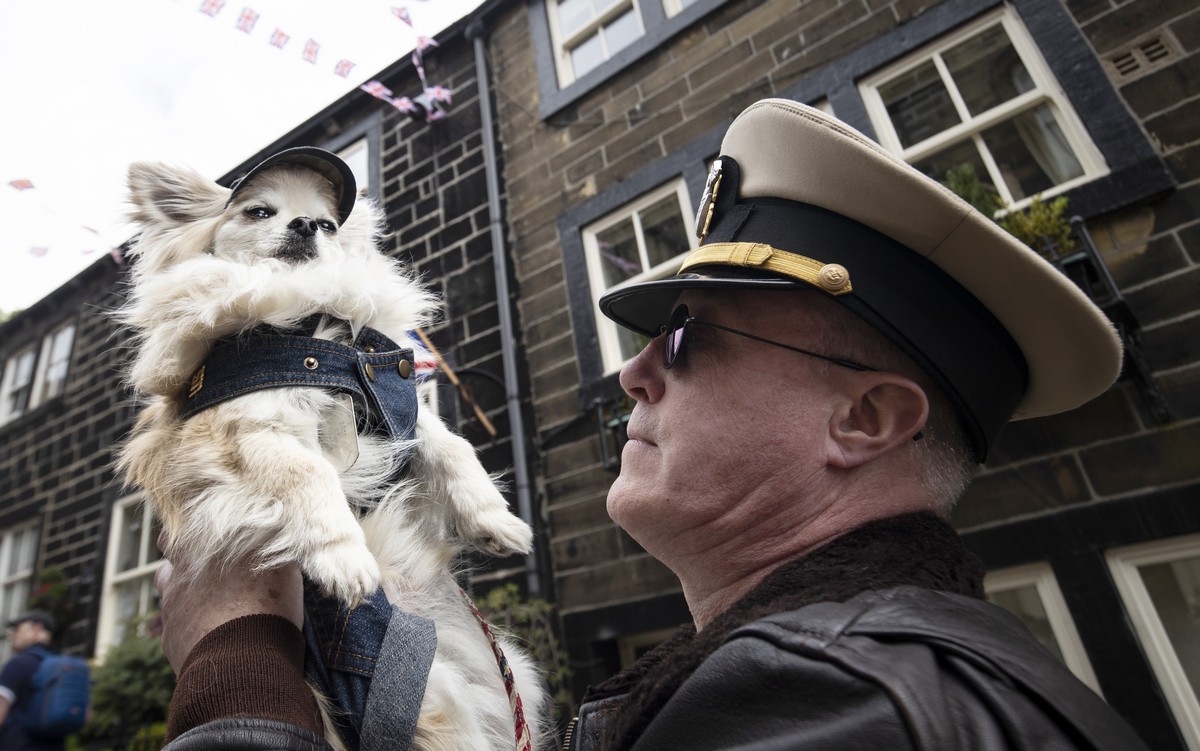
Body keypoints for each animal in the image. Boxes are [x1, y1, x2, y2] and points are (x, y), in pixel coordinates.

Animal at [117, 147, 549, 748]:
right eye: (258, 212)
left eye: (326, 225)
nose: (304, 226)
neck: (313, 330)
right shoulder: (241, 432)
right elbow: (309, 474)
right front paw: (344, 557)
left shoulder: (402, 410)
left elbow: (454, 445)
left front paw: (496, 519)